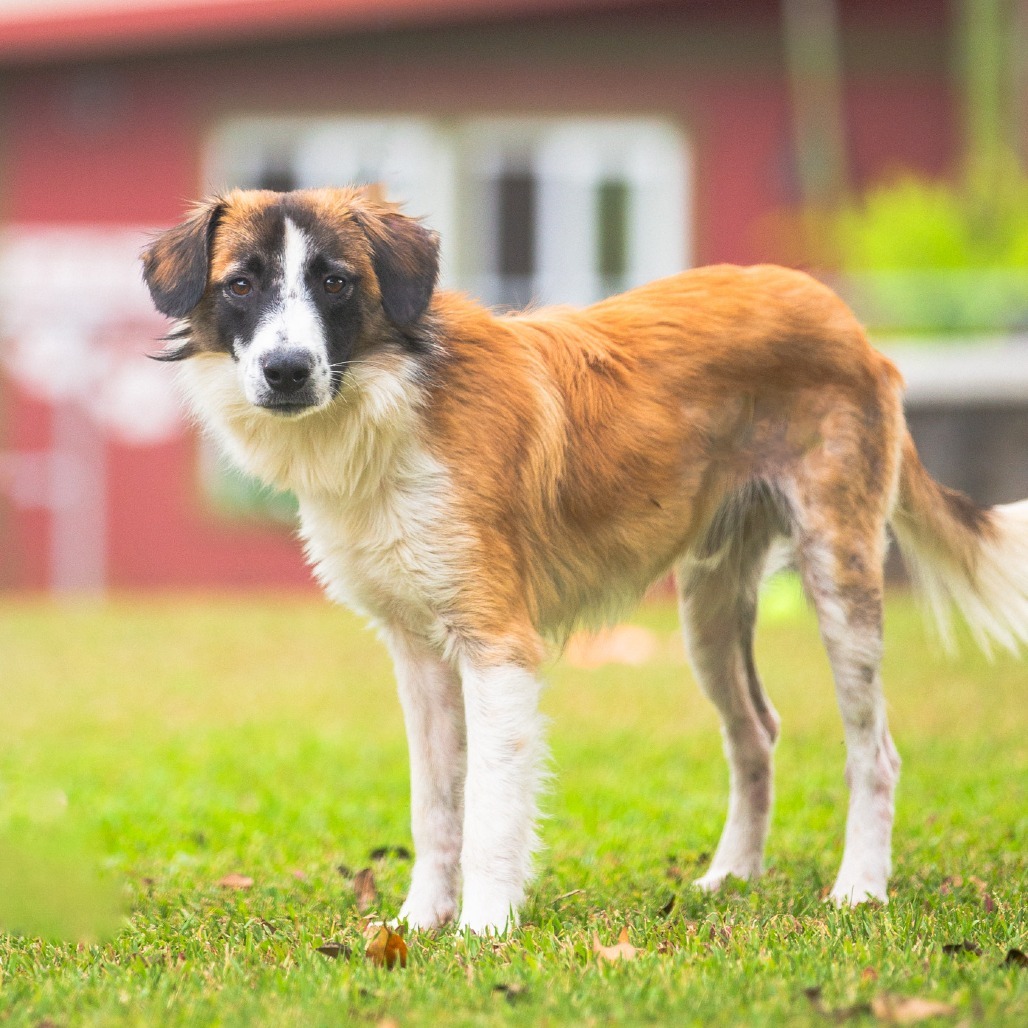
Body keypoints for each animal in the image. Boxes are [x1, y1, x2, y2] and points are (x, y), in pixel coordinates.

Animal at [142, 185, 1028, 933]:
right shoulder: (418, 652)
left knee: (872, 751)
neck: (394, 398)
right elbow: (435, 805)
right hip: (708, 609)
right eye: (241, 285)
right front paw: (419, 923)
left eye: (333, 282)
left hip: (841, 581)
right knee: (755, 734)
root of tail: (840, 314)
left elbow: (490, 806)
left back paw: (860, 887)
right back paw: (731, 878)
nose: (286, 371)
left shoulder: (496, 644)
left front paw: (484, 929)